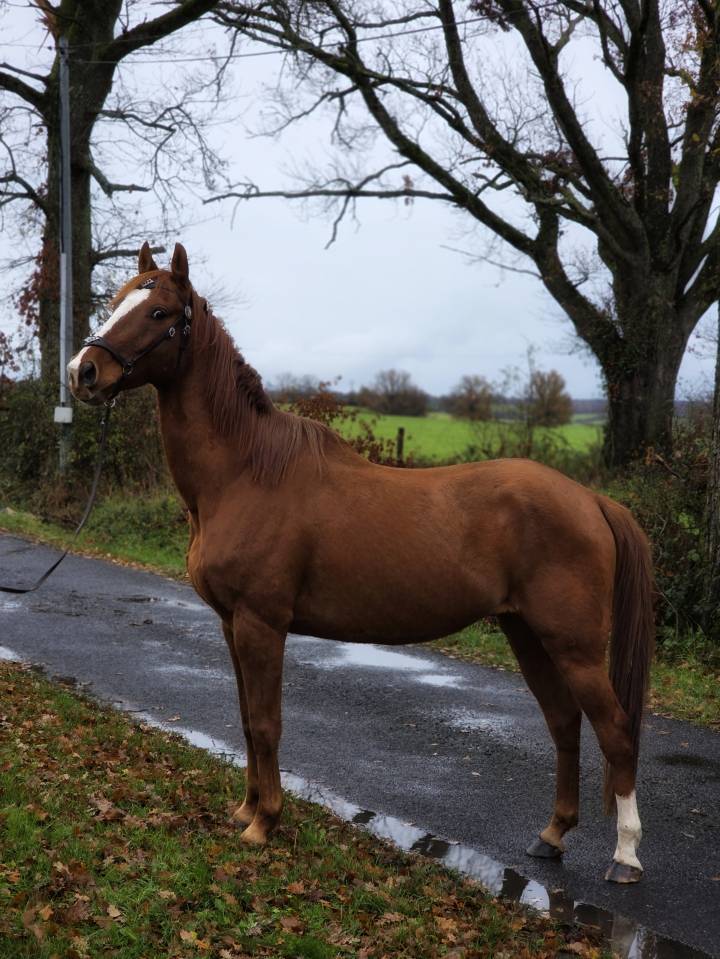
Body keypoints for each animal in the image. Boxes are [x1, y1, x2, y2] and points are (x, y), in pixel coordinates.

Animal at [68, 242, 654, 883]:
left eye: (159, 312)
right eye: (118, 301)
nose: (82, 372)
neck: (246, 472)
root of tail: (591, 500)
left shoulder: (260, 623)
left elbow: (267, 722)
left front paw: (264, 824)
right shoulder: (230, 624)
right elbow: (246, 719)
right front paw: (244, 808)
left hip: (573, 644)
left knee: (615, 731)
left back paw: (625, 857)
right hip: (526, 633)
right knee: (564, 723)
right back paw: (551, 836)